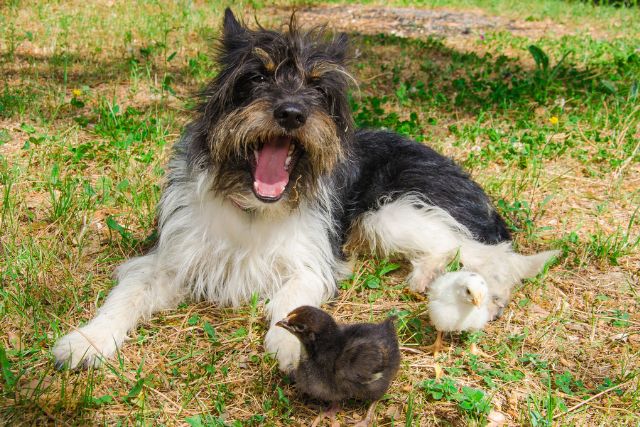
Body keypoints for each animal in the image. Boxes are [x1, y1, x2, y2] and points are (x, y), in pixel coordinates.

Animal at [52, 8, 556, 372]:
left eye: (317, 86)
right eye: (257, 76)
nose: (292, 113)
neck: (254, 206)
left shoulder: (313, 259)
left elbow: (293, 296)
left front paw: (292, 343)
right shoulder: (168, 256)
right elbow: (128, 295)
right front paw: (87, 340)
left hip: (387, 213)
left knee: (479, 252)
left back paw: (441, 280)